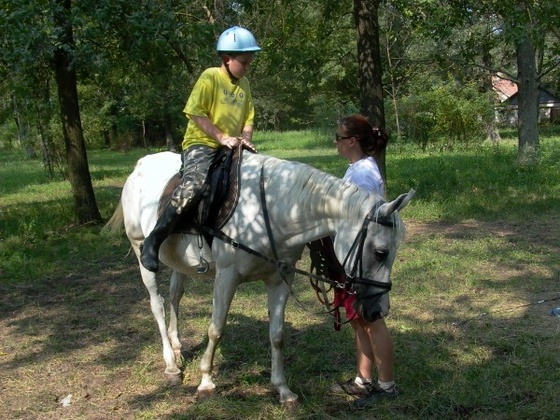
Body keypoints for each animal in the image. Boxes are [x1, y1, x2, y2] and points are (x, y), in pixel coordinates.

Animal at [103, 150, 414, 404]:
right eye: (381, 252)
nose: (378, 310)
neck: (274, 212)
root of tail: (140, 166)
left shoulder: (279, 279)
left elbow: (277, 334)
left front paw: (283, 390)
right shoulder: (226, 278)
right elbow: (216, 328)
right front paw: (206, 382)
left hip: (180, 264)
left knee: (175, 297)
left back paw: (178, 349)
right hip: (141, 252)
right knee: (157, 304)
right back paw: (170, 365)